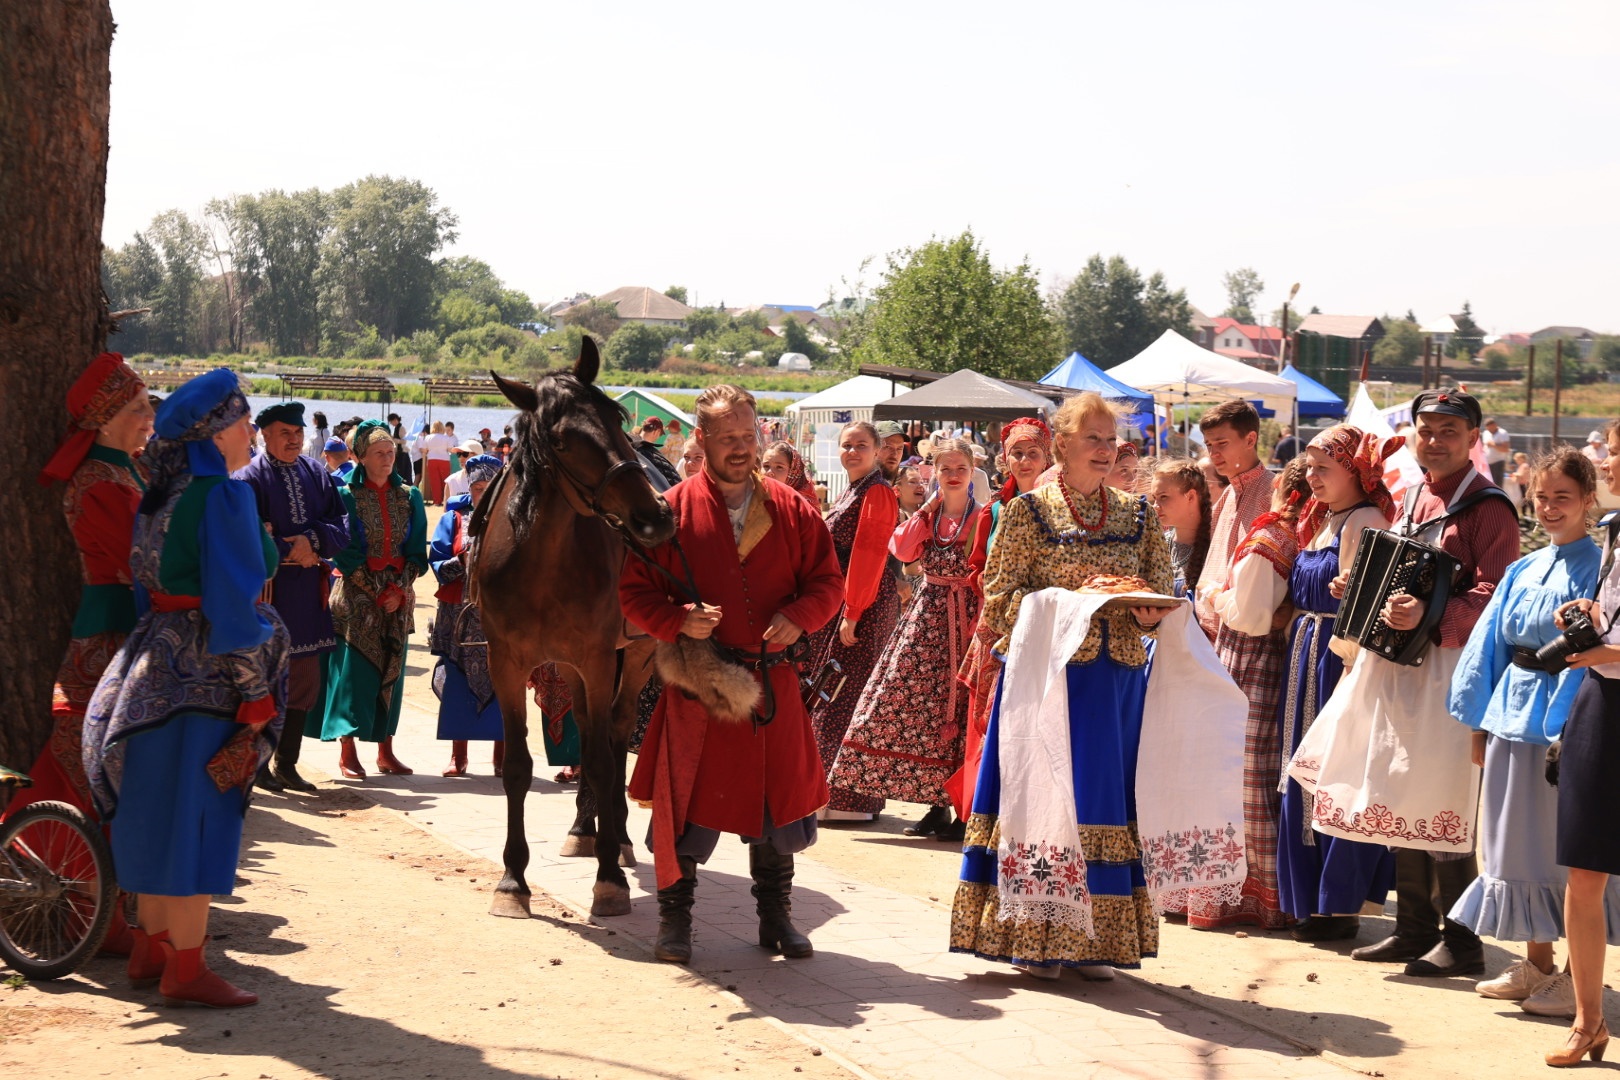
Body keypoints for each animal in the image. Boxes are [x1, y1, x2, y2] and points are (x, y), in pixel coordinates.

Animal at [473, 341, 673, 919]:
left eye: (616, 418)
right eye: (562, 440)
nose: (653, 516)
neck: (541, 560)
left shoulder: (599, 658)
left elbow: (606, 761)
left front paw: (609, 880)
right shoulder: (506, 661)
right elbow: (517, 766)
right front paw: (512, 880)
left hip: (634, 656)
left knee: (614, 732)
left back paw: (618, 838)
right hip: (570, 664)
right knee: (587, 727)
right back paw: (587, 828)